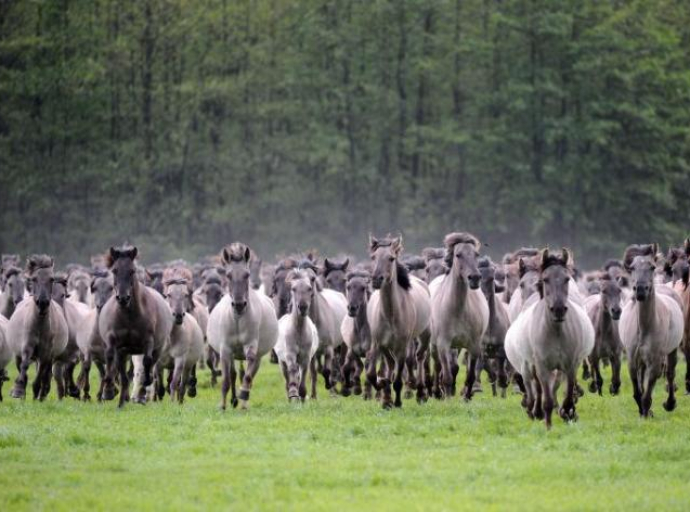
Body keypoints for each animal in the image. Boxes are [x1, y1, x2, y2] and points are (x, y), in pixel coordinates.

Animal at [206, 242, 278, 410]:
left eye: (247, 275)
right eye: (228, 275)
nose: (239, 305)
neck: (238, 320)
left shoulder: (251, 347)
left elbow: (247, 376)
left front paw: (243, 397)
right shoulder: (225, 350)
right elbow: (226, 380)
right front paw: (222, 406)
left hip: (257, 355)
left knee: (248, 374)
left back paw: (241, 400)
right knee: (232, 374)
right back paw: (233, 401)